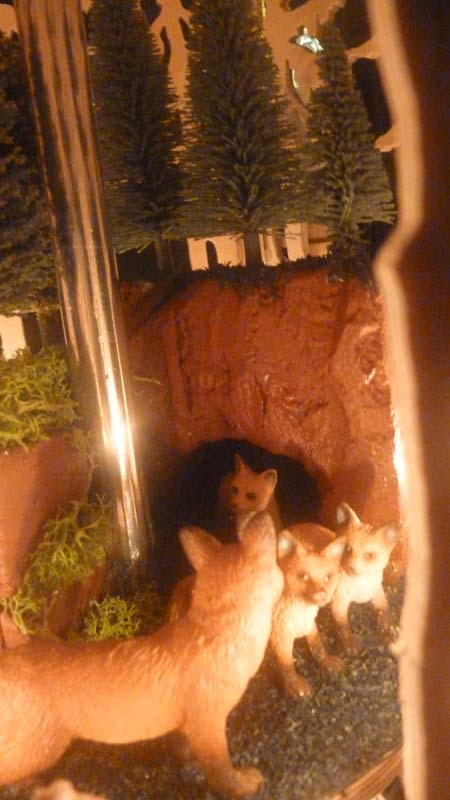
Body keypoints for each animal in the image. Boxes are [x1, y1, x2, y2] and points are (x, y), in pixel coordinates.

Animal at [0, 512, 283, 798]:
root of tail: (16, 649)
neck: (214, 634)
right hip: (40, 750)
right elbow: (221, 770)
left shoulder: (187, 726)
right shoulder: (208, 725)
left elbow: (183, 748)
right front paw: (244, 785)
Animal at [270, 523, 346, 697]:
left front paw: (328, 661)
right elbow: (286, 665)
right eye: (303, 576)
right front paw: (295, 686)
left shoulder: (309, 625)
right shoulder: (280, 637)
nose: (321, 595)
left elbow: (318, 646)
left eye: (327, 577)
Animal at [331, 502, 400, 654]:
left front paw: (392, 633)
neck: (360, 589)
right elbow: (343, 626)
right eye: (347, 549)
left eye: (370, 556)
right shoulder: (339, 602)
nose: (352, 568)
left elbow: (386, 614)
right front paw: (348, 643)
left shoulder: (378, 595)